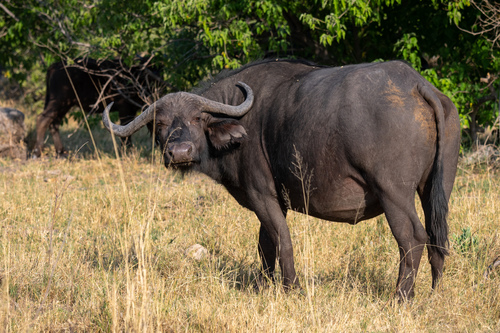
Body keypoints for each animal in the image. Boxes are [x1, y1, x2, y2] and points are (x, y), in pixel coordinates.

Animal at [33, 56, 161, 157]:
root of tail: (54, 66)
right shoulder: (125, 109)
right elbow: (126, 132)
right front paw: (127, 152)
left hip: (65, 104)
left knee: (54, 122)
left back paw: (61, 151)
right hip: (59, 101)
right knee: (42, 119)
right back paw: (37, 152)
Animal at [102, 59, 460, 298]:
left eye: (196, 118)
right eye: (160, 124)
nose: (179, 152)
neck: (239, 119)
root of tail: (415, 85)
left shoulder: (263, 195)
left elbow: (282, 240)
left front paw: (291, 288)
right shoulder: (274, 202)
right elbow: (265, 244)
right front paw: (263, 285)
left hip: (393, 194)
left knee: (413, 237)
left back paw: (401, 297)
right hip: (435, 189)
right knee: (436, 237)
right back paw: (434, 290)